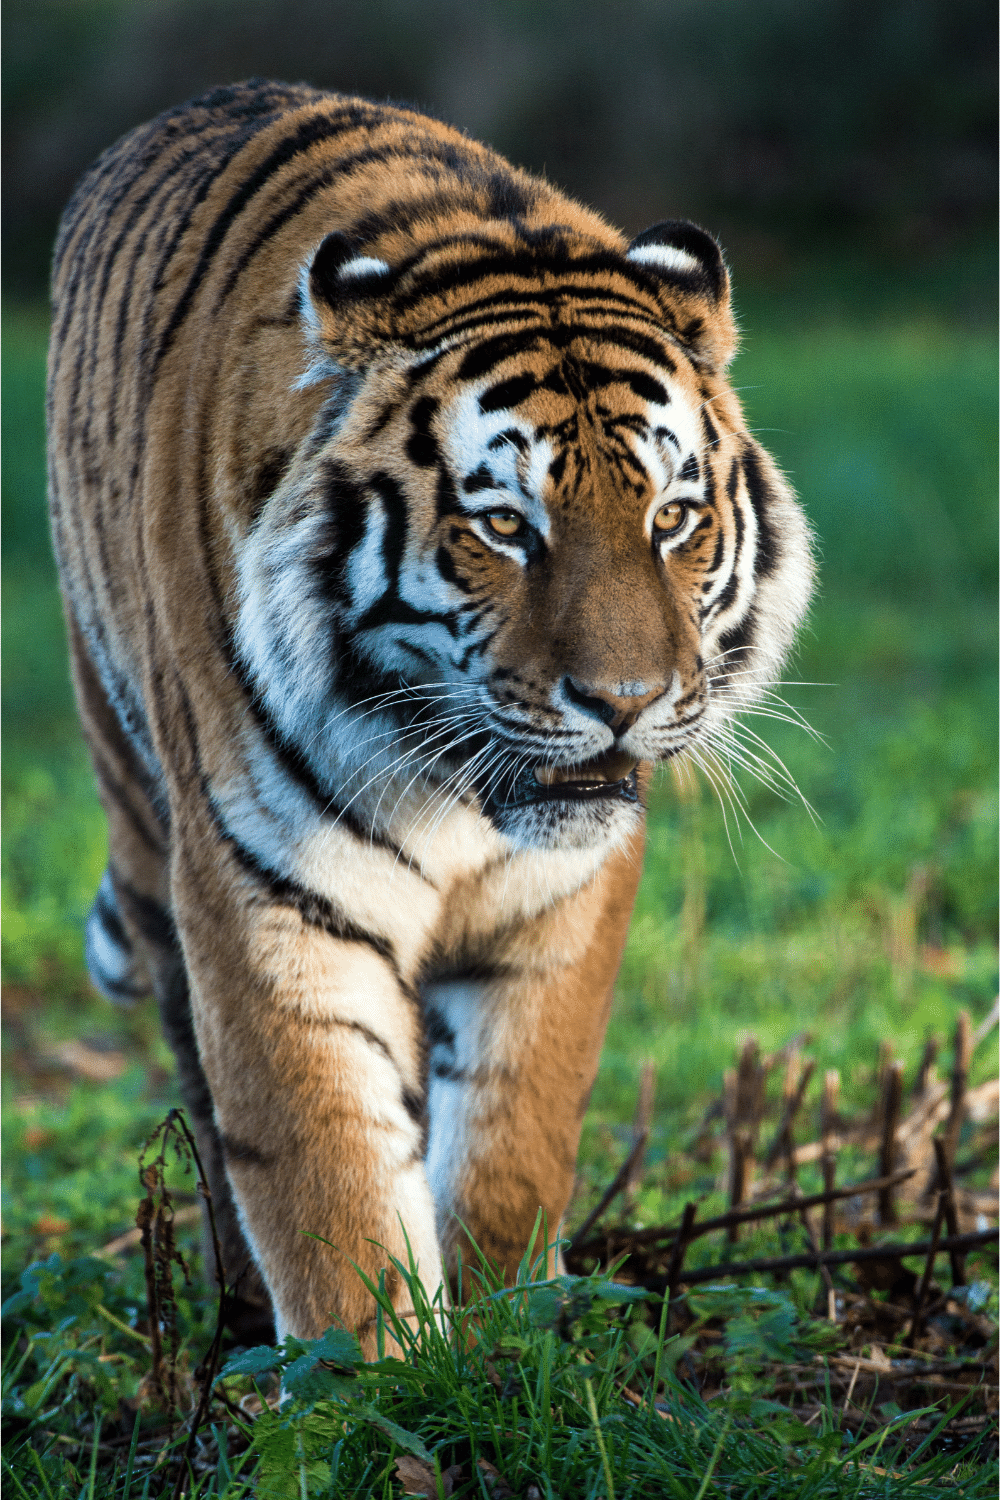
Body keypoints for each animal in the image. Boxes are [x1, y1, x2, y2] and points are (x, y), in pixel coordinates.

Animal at [48, 76, 815, 1356]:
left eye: (671, 517)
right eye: (504, 526)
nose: (625, 705)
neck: (453, 789)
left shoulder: (561, 902)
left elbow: (514, 1131)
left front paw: (506, 1334)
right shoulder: (270, 896)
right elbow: (324, 1174)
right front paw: (378, 1371)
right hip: (130, 776)